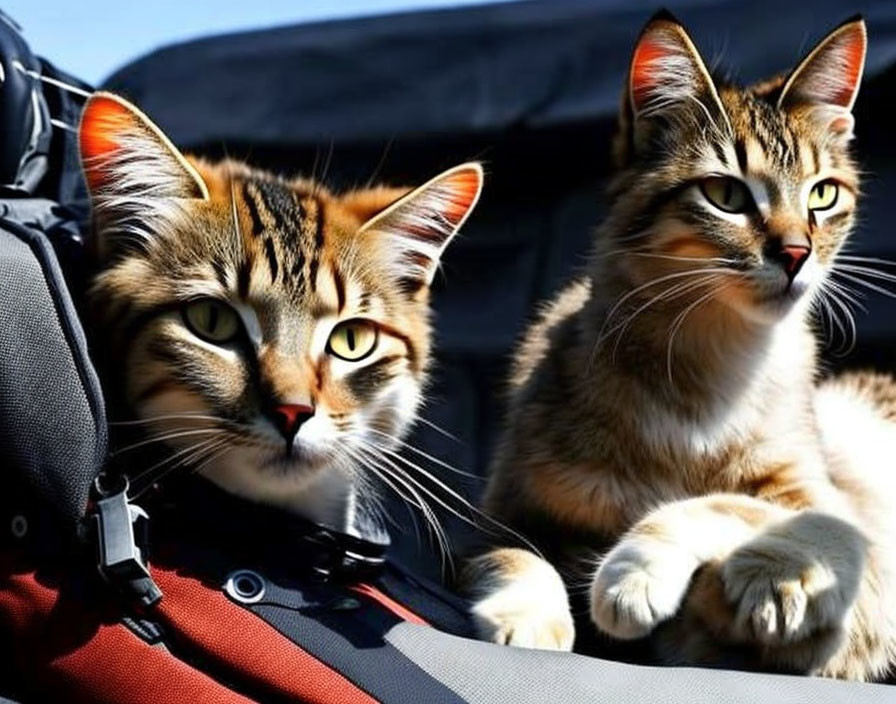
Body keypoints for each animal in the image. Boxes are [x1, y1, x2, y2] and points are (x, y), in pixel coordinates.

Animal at [462, 12, 896, 680]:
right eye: (727, 195)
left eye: (822, 195)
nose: (797, 254)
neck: (709, 365)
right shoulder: (500, 510)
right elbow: (511, 554)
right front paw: (530, 616)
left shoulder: (845, 521)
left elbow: (741, 507)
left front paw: (640, 570)